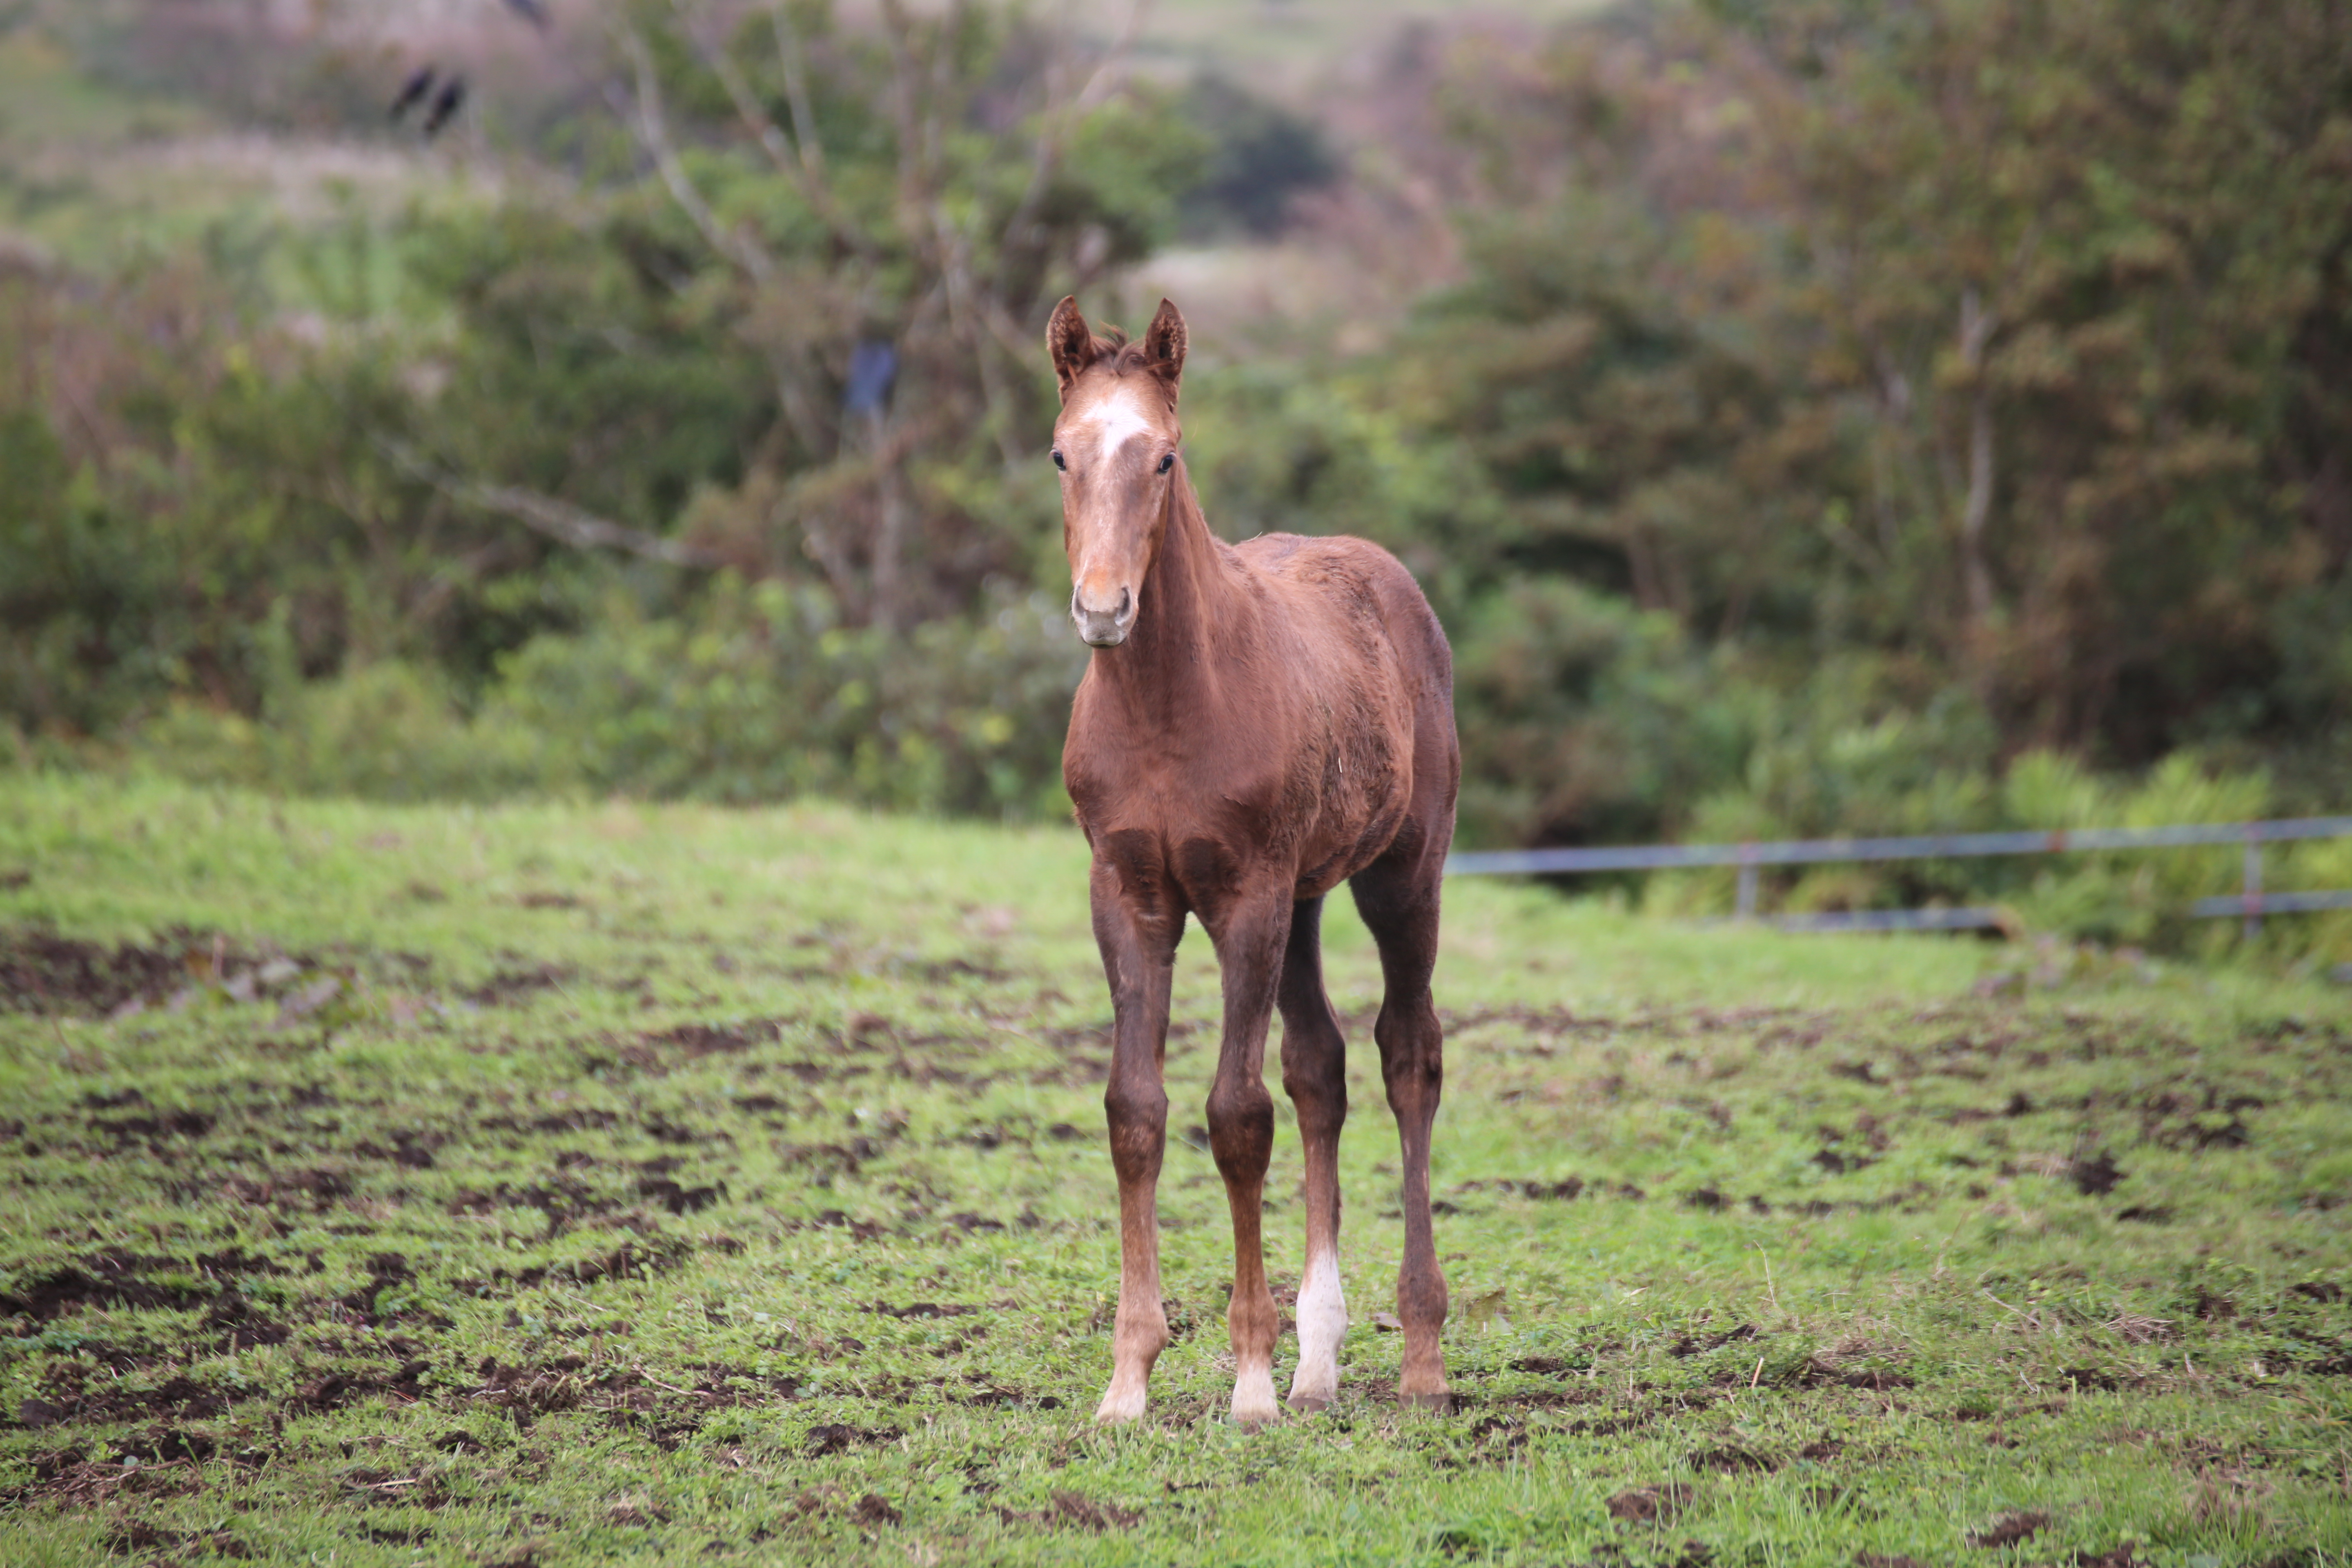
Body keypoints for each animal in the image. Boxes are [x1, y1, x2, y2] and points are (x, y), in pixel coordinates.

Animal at [1044, 297, 1449, 1439]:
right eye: (1060, 453)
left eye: (1164, 456)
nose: (1103, 608)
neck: (1169, 706)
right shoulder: (1128, 897)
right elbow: (1134, 1111)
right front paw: (1129, 1380)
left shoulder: (1245, 898)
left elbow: (1235, 1116)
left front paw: (1251, 1380)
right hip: (1309, 894)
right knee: (1321, 1067)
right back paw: (1322, 1363)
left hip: (1401, 874)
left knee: (1409, 1056)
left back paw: (1419, 1357)